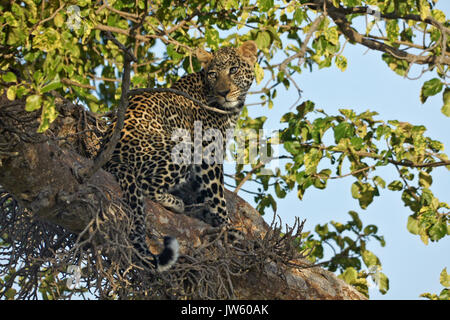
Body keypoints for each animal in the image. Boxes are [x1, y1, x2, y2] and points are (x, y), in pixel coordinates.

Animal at [101, 39, 256, 270]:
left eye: (234, 69)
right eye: (213, 74)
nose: (224, 92)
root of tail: (111, 157)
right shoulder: (208, 152)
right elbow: (217, 196)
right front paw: (227, 229)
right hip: (182, 148)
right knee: (143, 184)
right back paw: (175, 203)